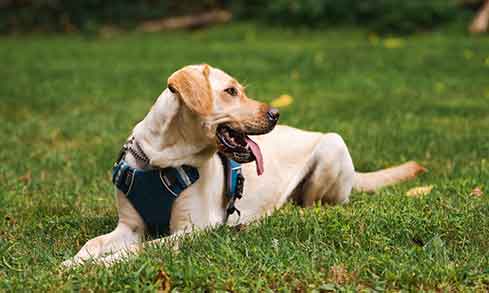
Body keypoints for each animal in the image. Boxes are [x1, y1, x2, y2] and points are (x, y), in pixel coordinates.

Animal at [62, 64, 424, 266]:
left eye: (240, 90)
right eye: (231, 91)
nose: (276, 114)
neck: (162, 160)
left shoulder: (191, 231)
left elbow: (139, 251)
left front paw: (96, 266)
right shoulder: (129, 227)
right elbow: (92, 243)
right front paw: (76, 261)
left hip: (332, 145)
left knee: (311, 204)